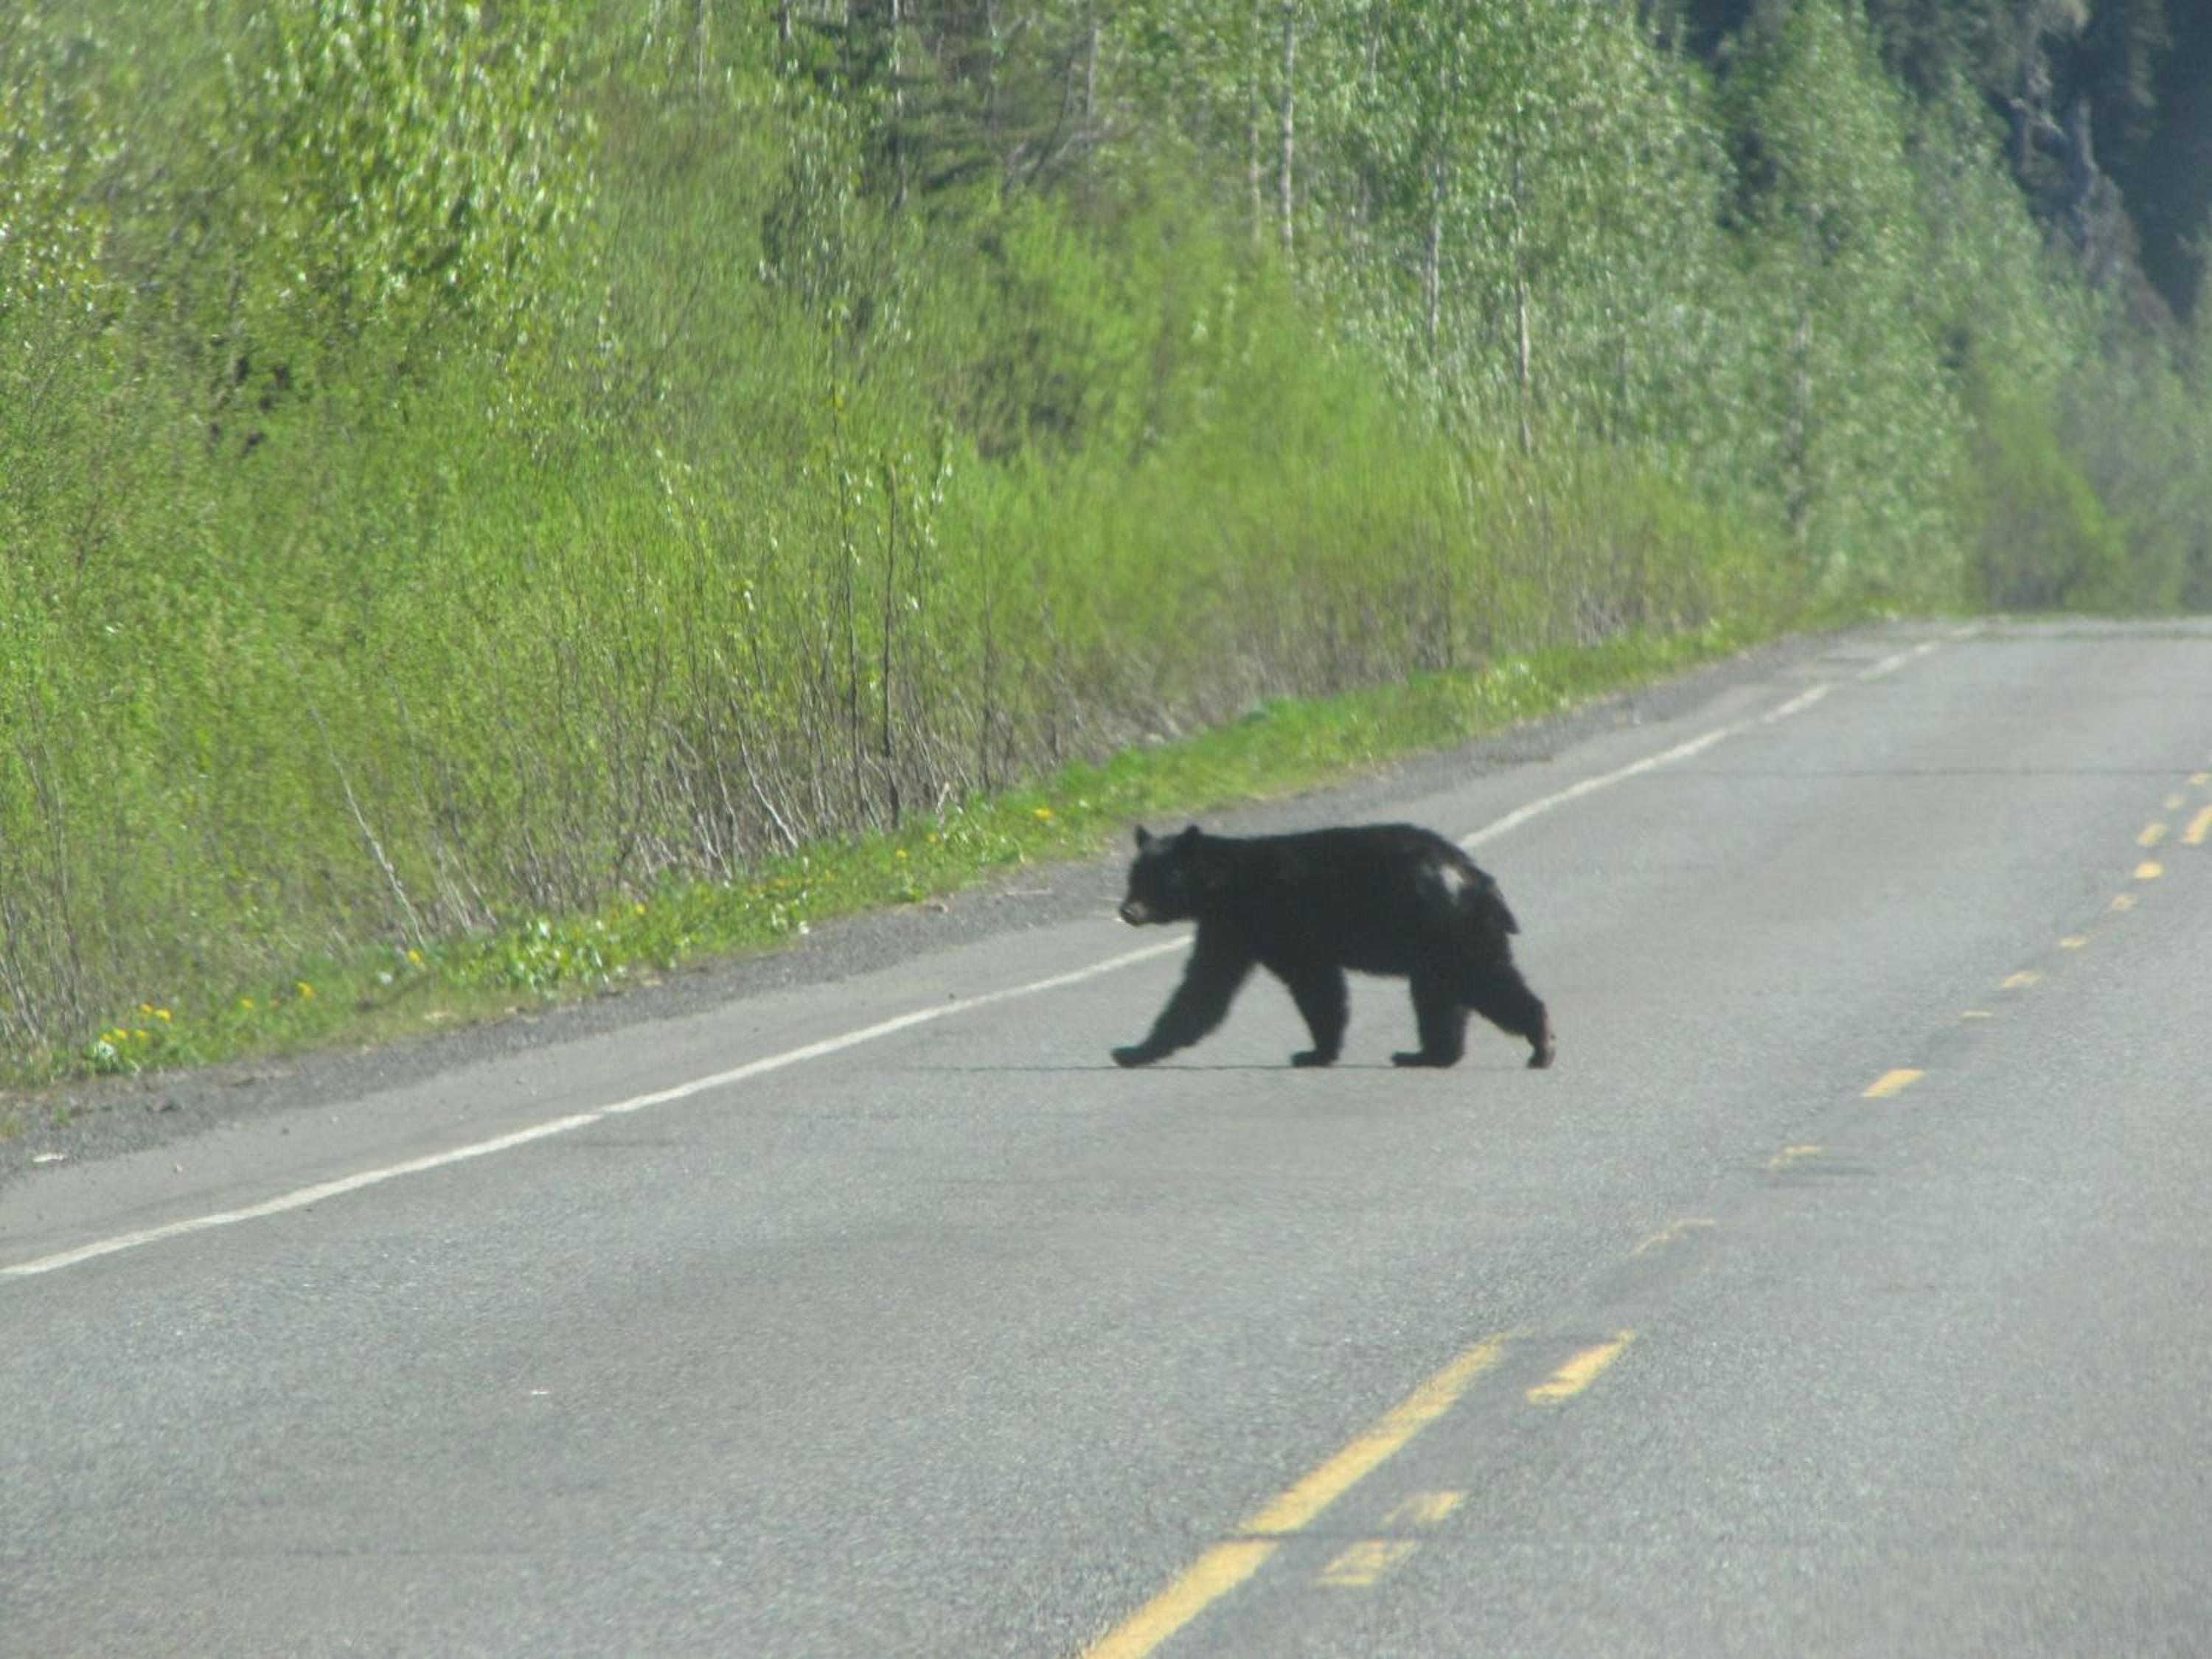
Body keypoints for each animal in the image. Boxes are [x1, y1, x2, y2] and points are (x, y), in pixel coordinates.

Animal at [1110, 821, 1555, 1070]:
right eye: (1132, 877)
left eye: (1153, 880)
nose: (1127, 910)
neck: (1224, 883)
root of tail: (1476, 878)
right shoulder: (1234, 929)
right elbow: (1210, 985)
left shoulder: (1270, 921)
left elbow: (1303, 986)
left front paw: (1130, 1051)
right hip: (1446, 940)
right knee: (1441, 996)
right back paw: (1427, 1054)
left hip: (1446, 930)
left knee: (1482, 982)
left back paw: (1541, 1043)